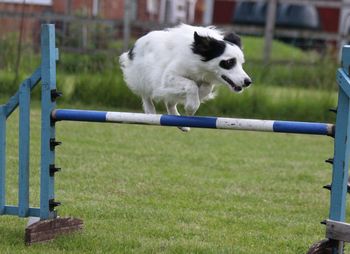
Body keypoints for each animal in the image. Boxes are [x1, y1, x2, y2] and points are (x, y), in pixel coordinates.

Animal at [120, 23, 252, 131]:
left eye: (241, 63)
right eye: (229, 62)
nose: (248, 82)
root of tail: (137, 43)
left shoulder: (206, 80)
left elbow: (206, 88)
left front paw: (197, 97)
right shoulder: (168, 76)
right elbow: (191, 84)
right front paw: (191, 107)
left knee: (170, 102)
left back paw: (180, 122)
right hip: (143, 76)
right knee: (146, 94)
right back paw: (151, 112)